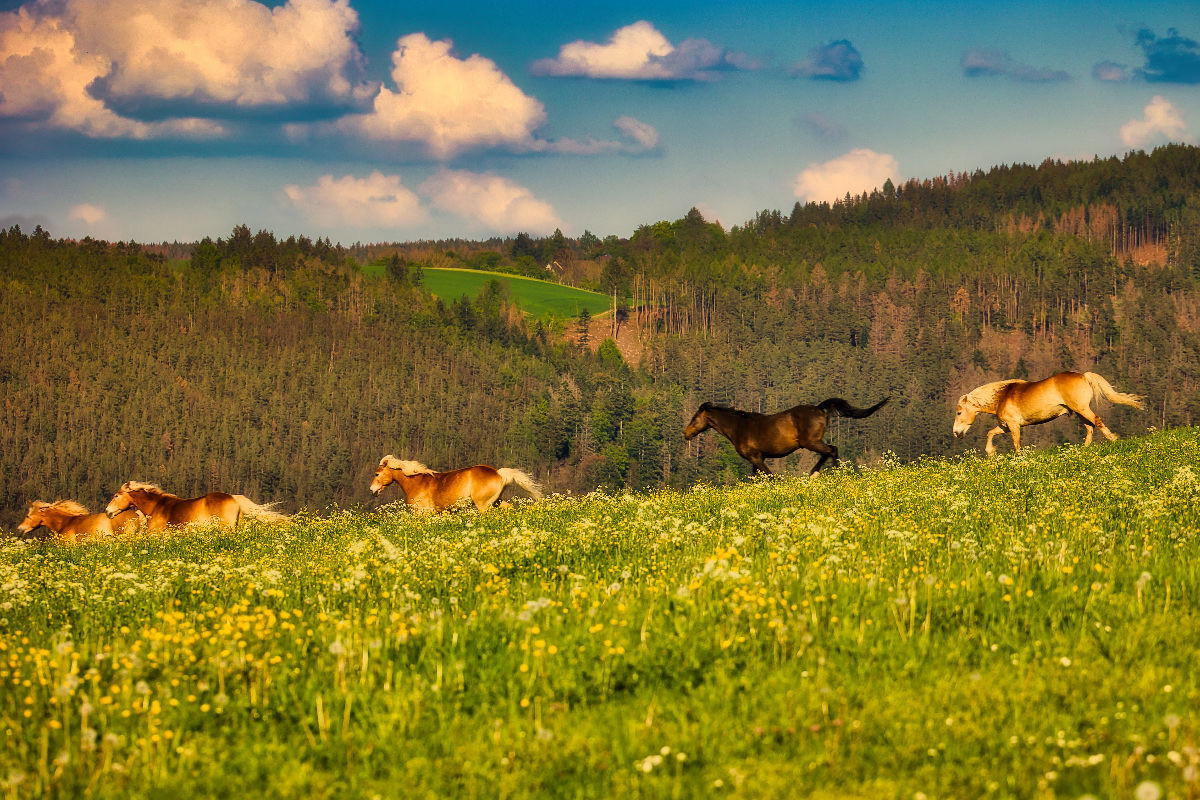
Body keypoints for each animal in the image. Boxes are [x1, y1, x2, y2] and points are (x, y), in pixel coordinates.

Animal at [367, 455, 547, 513]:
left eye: (377, 474)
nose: (372, 490)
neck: (416, 482)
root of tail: (499, 473)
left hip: (483, 505)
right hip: (496, 501)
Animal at [686, 395, 892, 474]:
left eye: (695, 418)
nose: (686, 433)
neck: (739, 426)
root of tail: (819, 409)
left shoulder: (755, 457)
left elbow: (771, 477)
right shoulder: (757, 459)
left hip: (810, 442)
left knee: (832, 450)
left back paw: (833, 473)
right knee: (828, 451)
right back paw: (814, 473)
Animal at [955, 371, 1142, 455]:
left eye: (958, 413)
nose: (956, 433)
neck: (1002, 396)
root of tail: (1084, 375)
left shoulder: (1014, 426)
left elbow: (1016, 444)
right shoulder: (1006, 426)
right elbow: (990, 433)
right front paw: (991, 452)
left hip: (1082, 409)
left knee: (1097, 420)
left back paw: (1113, 439)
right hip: (1079, 412)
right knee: (1090, 427)